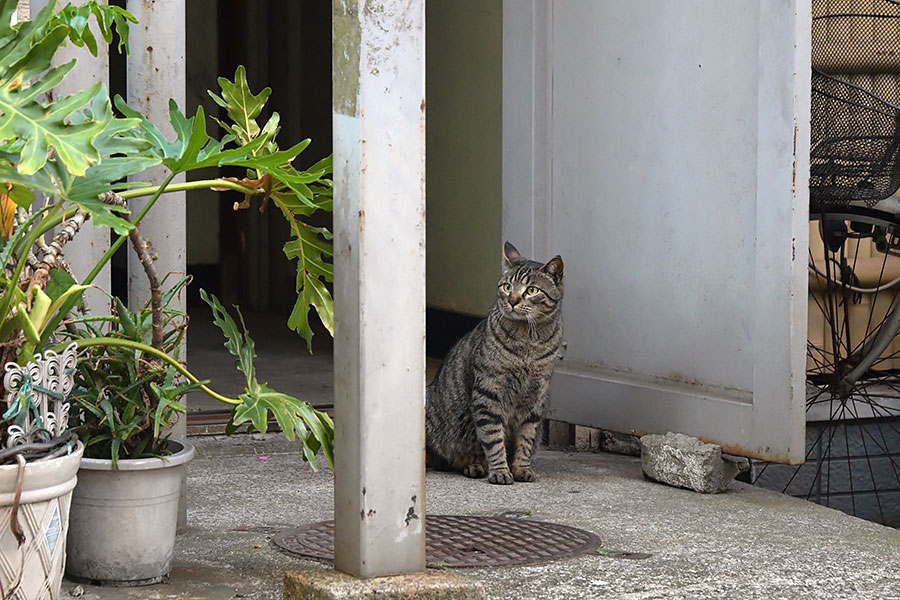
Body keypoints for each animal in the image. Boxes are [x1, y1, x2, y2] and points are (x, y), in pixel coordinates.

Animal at [428, 241, 564, 486]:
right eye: (507, 287)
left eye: (532, 290)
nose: (512, 300)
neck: (529, 342)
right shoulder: (488, 394)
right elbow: (493, 439)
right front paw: (500, 471)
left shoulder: (536, 399)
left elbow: (526, 440)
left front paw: (521, 468)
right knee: (450, 458)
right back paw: (474, 465)